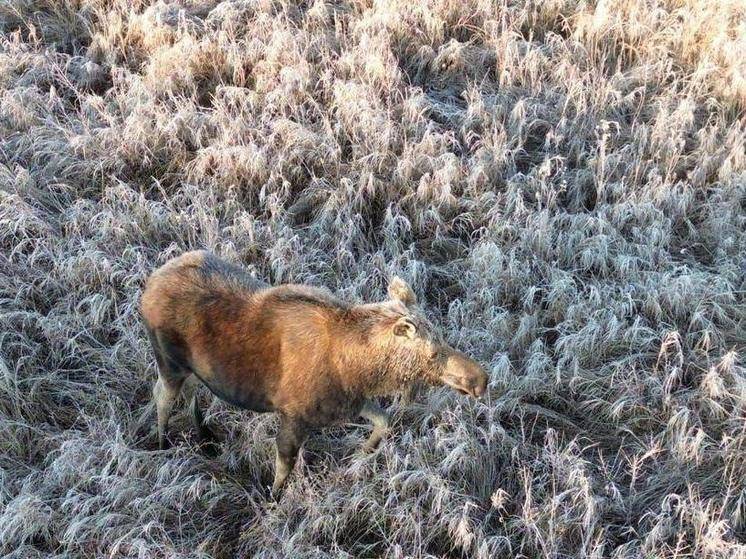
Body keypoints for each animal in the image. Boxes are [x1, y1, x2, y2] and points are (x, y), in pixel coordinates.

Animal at [140, 253, 488, 494]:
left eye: (443, 338)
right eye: (432, 353)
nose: (481, 380)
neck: (361, 370)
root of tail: (148, 285)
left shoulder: (348, 402)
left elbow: (384, 421)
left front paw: (359, 457)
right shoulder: (294, 415)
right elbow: (283, 467)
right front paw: (273, 500)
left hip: (193, 368)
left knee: (191, 391)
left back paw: (204, 435)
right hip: (169, 361)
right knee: (161, 396)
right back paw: (162, 442)